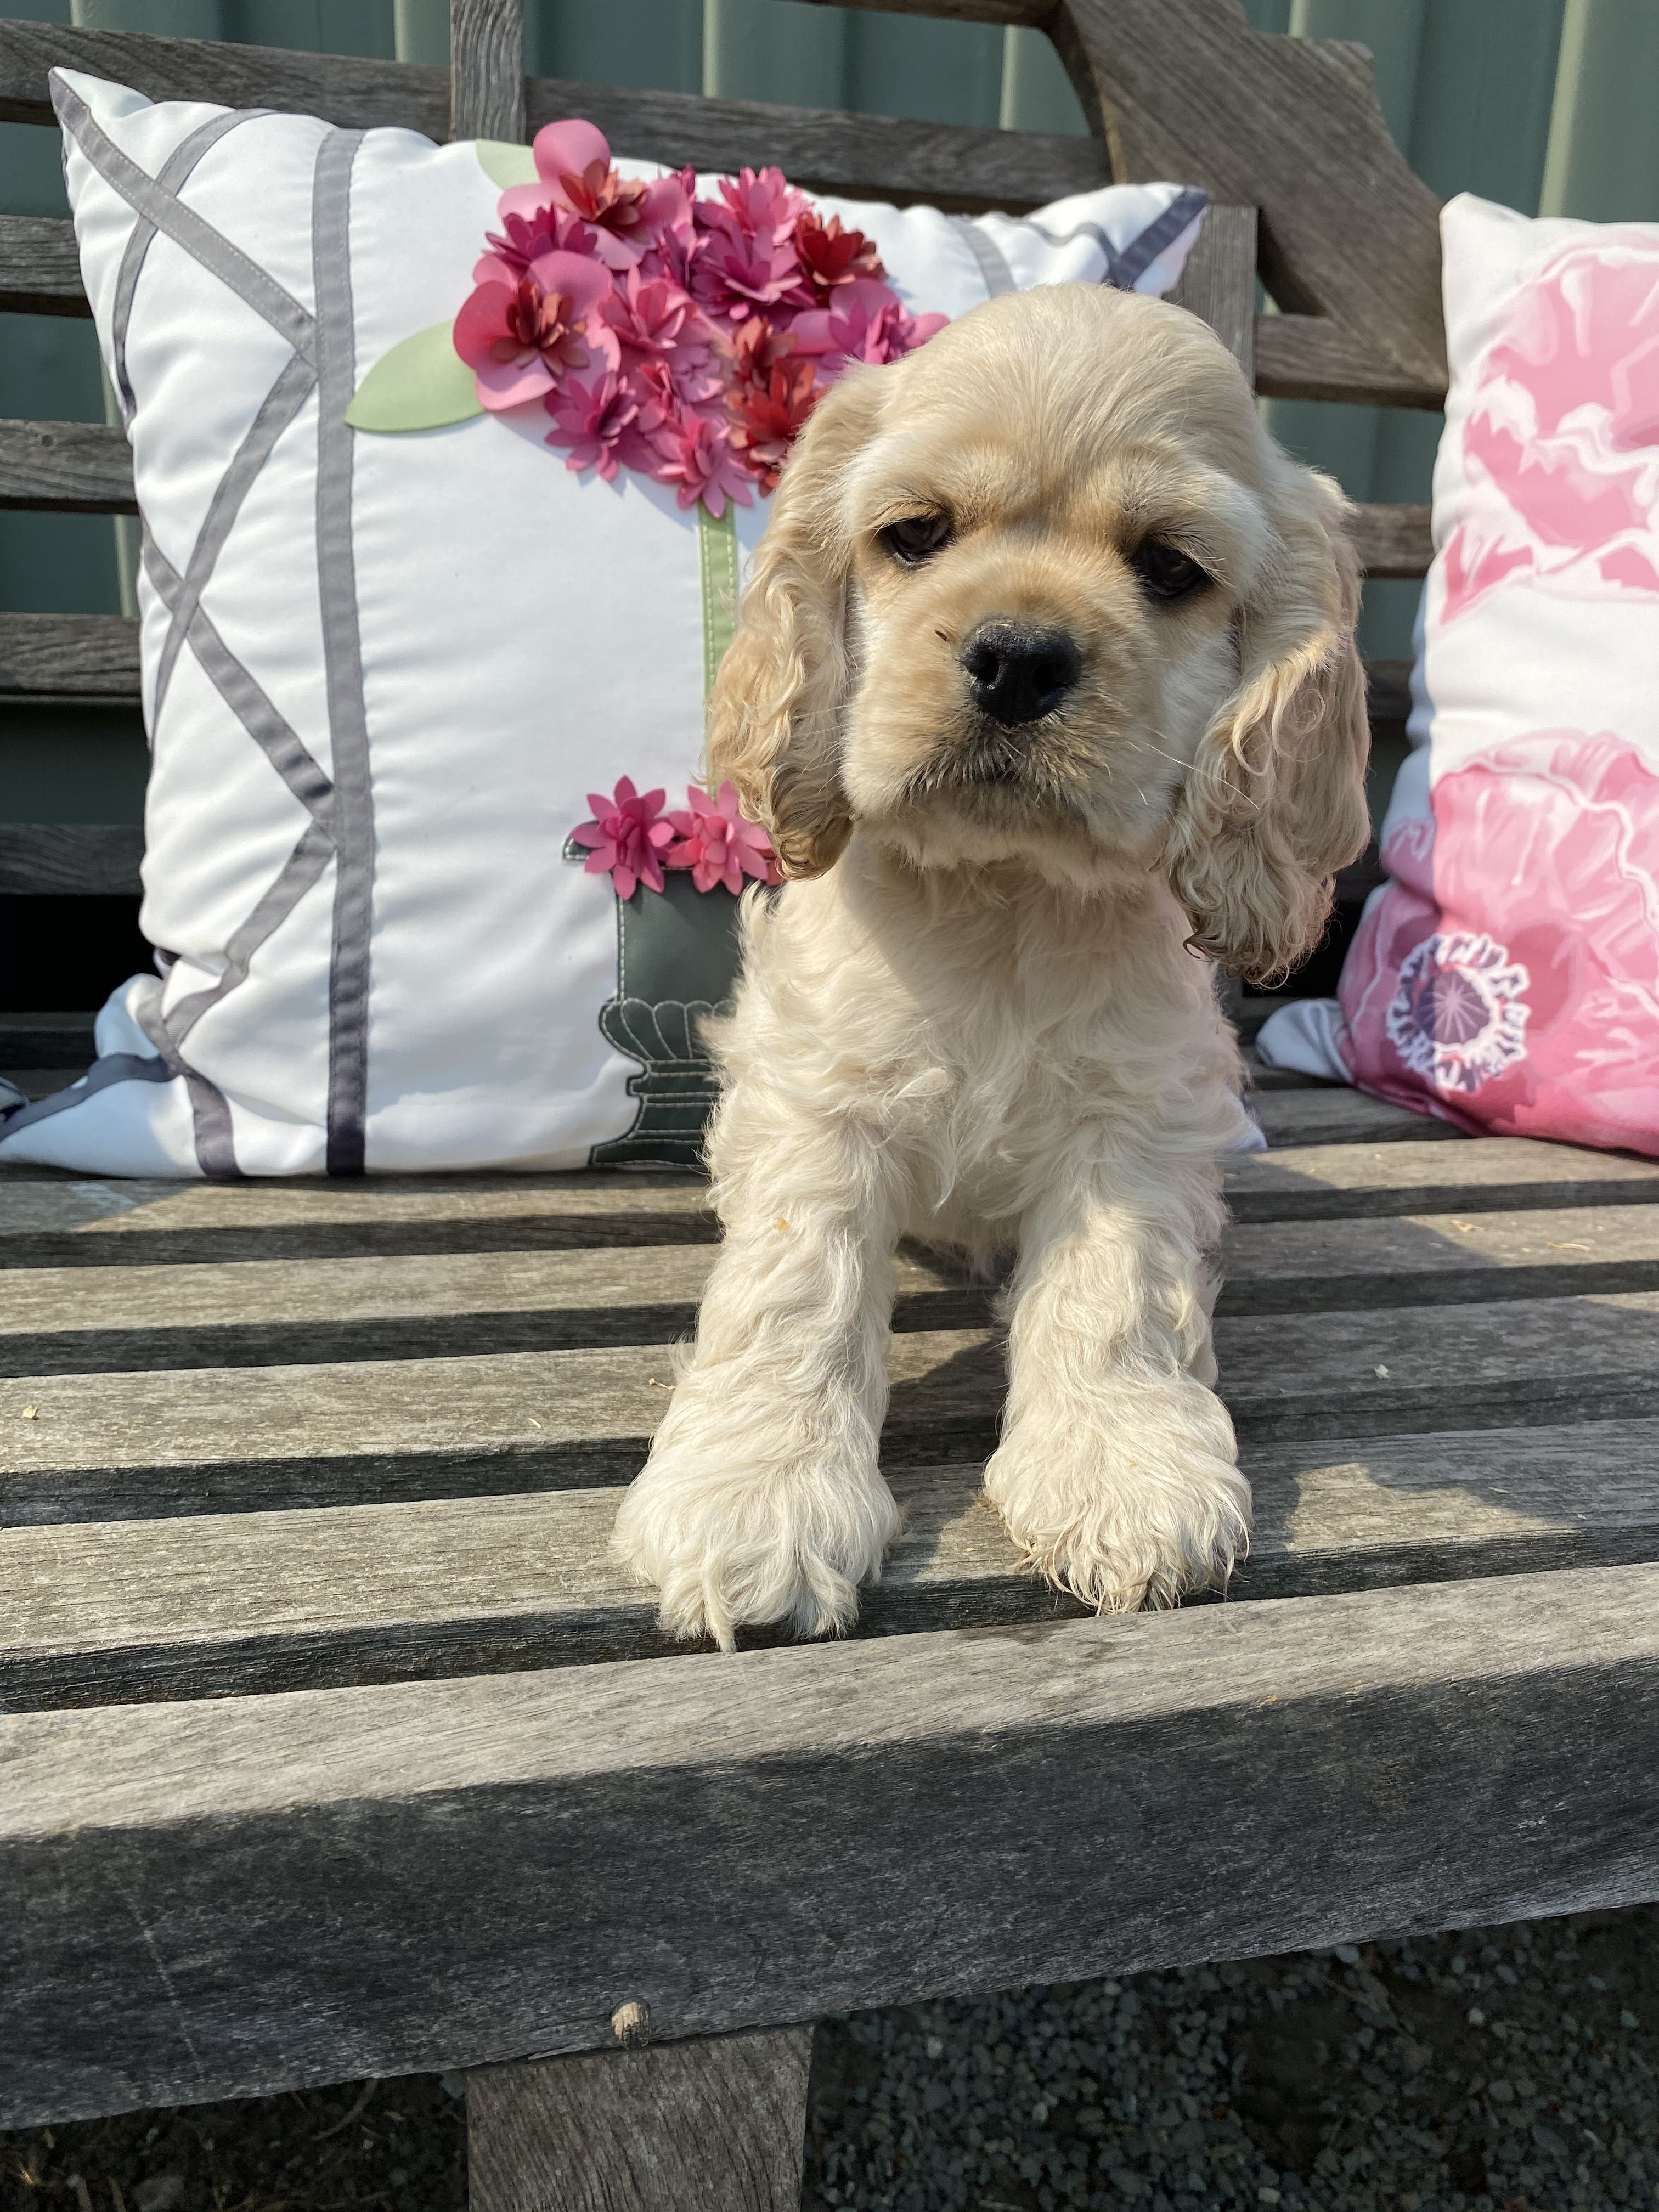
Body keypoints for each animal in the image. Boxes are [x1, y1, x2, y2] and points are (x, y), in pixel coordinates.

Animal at [614, 280, 1369, 1649]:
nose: (1019, 655)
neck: (1004, 896)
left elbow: (1115, 1293)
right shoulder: (817, 1101)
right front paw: (754, 1498)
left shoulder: (1134, 1121)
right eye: (915, 535)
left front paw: (1123, 1472)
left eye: (1170, 568)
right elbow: (792, 1288)